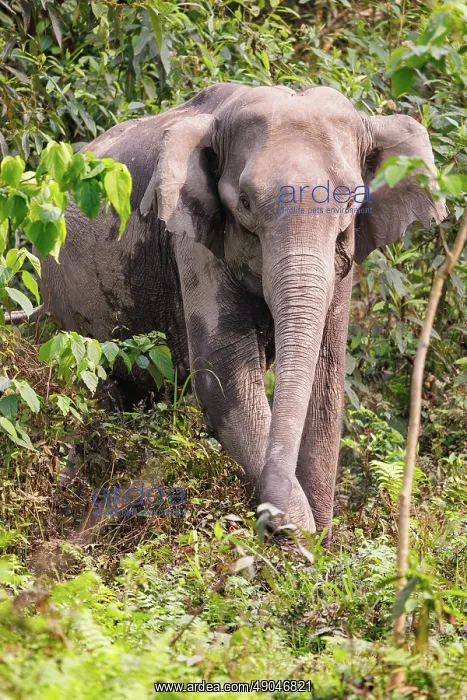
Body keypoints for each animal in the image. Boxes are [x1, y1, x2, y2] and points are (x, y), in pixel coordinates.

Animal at [33, 83, 445, 541]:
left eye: (352, 202)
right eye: (245, 203)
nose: (266, 521)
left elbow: (326, 379)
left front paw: (317, 544)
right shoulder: (192, 241)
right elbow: (224, 372)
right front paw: (300, 541)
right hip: (64, 301)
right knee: (102, 397)